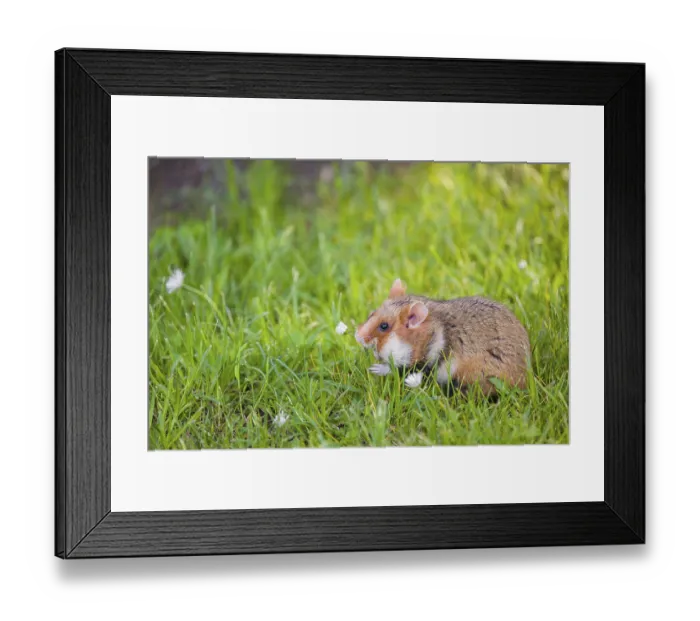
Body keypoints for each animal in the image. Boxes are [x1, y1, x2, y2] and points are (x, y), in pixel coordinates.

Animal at [355, 279, 531, 396]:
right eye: (372, 314)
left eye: (384, 326)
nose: (357, 336)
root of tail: (526, 380)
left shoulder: (423, 363)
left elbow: (398, 369)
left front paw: (375, 369)